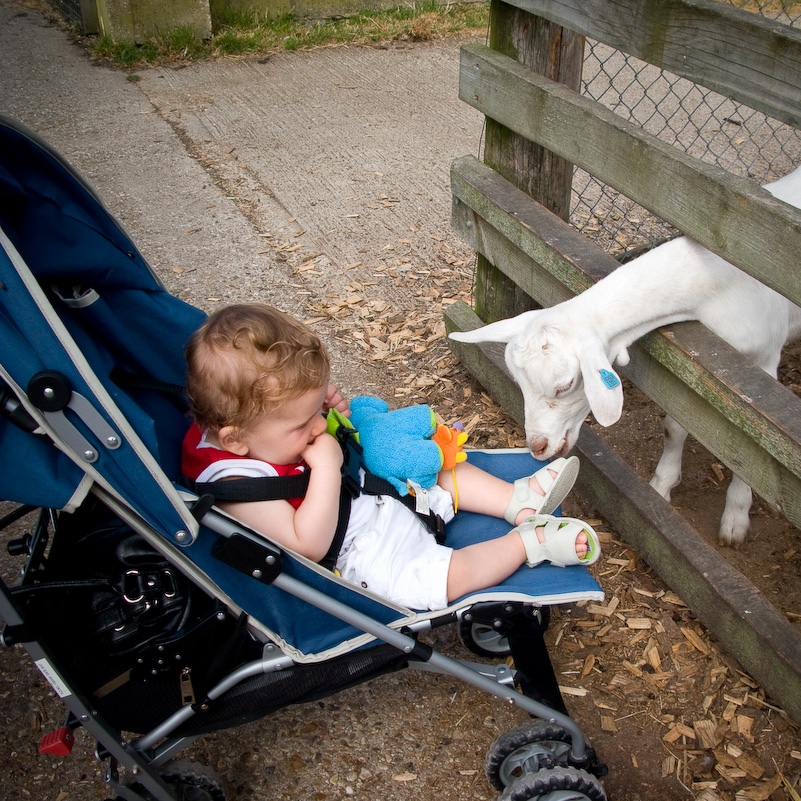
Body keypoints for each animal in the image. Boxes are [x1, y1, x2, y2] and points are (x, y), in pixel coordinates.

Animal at [450, 168, 800, 544]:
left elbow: (751, 458)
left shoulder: (764, 361)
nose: (537, 447)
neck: (721, 281)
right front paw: (662, 484)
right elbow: (675, 426)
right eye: (519, 382)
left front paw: (735, 518)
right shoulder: (694, 385)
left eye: (565, 386)